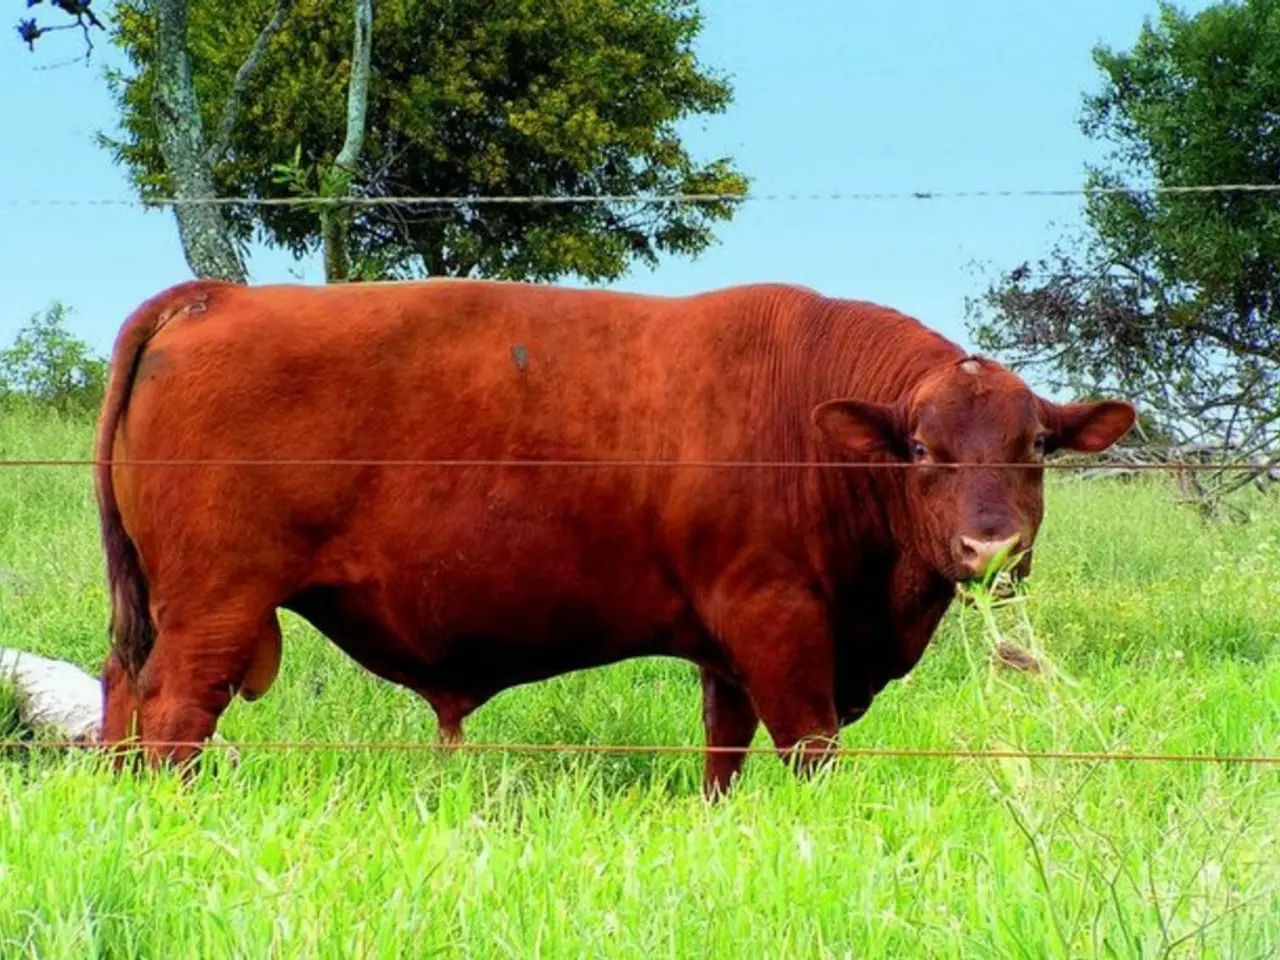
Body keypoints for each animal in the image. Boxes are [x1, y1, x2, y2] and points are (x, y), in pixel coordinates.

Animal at [94, 278, 1135, 796]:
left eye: (1036, 445)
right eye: (919, 450)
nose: (990, 551)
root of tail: (217, 295)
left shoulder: (731, 648)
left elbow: (725, 751)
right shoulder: (780, 622)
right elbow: (809, 746)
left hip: (161, 605)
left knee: (122, 688)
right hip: (217, 603)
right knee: (175, 711)